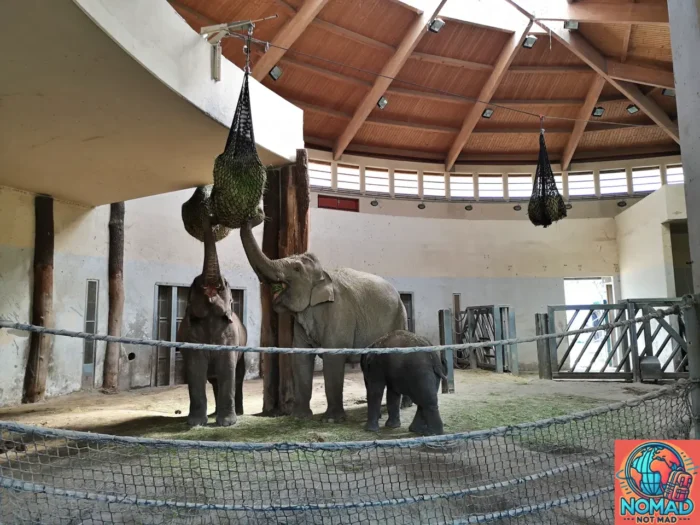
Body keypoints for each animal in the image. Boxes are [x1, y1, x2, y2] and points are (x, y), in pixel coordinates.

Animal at [177, 220, 246, 427]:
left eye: (224, 285)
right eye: (196, 283)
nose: (208, 217)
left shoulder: (230, 335)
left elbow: (227, 367)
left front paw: (228, 423)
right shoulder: (191, 333)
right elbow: (196, 367)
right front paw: (195, 423)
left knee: (238, 376)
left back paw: (239, 414)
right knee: (213, 379)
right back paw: (214, 414)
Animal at [240, 218, 408, 422]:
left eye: (296, 268)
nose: (257, 216)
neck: (323, 275)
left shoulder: (340, 312)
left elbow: (333, 356)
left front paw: (331, 420)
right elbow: (301, 357)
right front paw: (300, 417)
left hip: (399, 317)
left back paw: (403, 406)